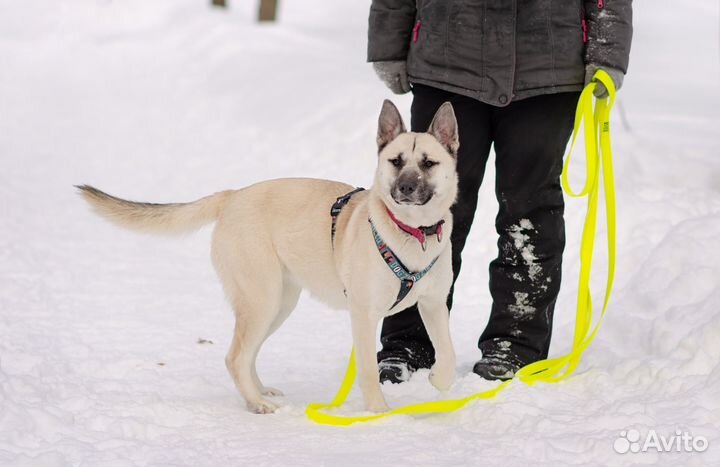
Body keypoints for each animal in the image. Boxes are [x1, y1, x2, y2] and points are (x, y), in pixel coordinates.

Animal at [79, 99, 458, 414]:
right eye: (395, 162)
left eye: (428, 163)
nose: (405, 188)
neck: (411, 233)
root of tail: (232, 197)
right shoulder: (364, 315)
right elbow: (366, 369)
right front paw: (379, 412)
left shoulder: (433, 305)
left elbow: (449, 354)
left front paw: (438, 380)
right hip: (262, 300)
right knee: (235, 356)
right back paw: (256, 403)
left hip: (278, 303)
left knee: (246, 354)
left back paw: (259, 391)